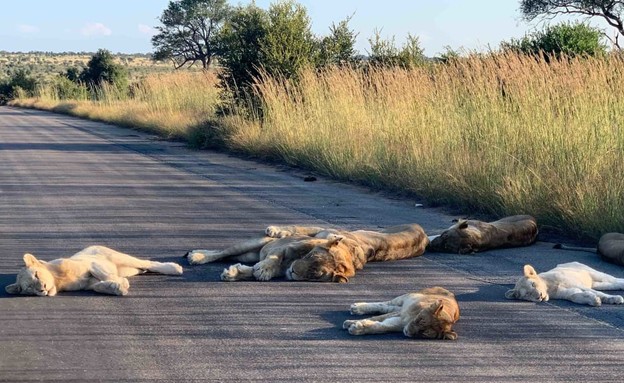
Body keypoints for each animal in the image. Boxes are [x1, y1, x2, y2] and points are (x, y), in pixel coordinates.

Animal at [5, 246, 185, 296]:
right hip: (129, 269)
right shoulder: (88, 284)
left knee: (148, 262)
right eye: (29, 288)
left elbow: (103, 274)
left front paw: (120, 283)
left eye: (36, 275)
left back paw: (174, 268)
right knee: (142, 268)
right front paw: (116, 287)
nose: (42, 289)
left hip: (118, 257)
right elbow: (98, 286)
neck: (58, 281)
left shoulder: (91, 263)